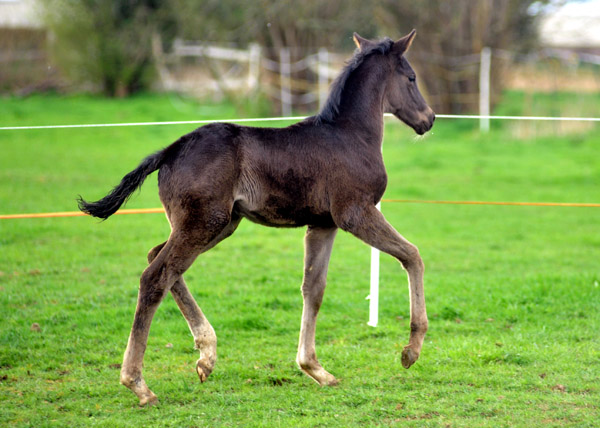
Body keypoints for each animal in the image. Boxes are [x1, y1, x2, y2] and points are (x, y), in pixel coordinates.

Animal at [79, 30, 436, 404]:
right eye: (411, 78)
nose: (428, 119)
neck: (350, 135)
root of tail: (171, 150)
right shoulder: (355, 213)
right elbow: (412, 255)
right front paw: (411, 350)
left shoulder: (322, 223)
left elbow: (314, 288)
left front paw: (315, 369)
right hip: (204, 222)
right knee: (155, 276)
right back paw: (138, 382)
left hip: (215, 224)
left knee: (159, 260)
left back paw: (206, 355)